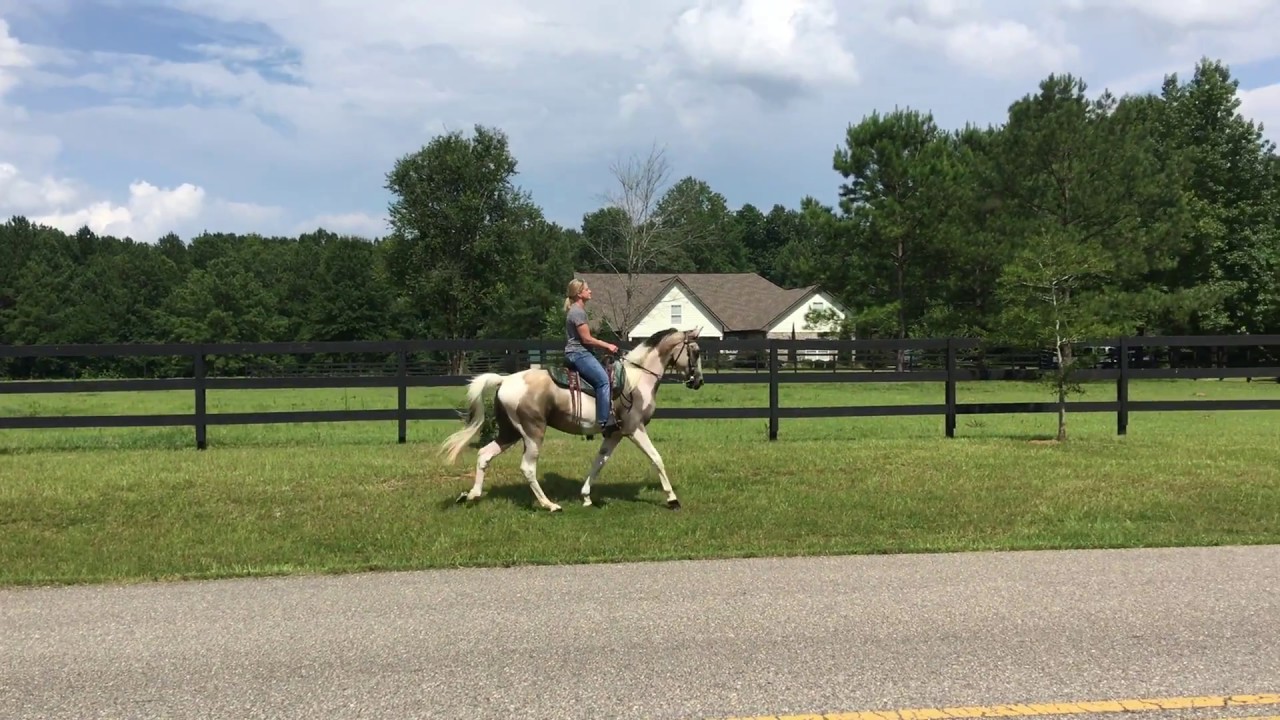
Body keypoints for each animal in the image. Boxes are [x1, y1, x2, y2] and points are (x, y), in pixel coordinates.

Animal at [439, 327, 705, 512]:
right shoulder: (634, 429)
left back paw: (471, 495)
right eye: (696, 351)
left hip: (509, 432)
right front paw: (672, 499)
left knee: (484, 454)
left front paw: (586, 496)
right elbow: (656, 459)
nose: (698, 381)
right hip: (532, 433)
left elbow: (599, 462)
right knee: (527, 468)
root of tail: (505, 380)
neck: (637, 379)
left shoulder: (614, 433)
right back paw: (550, 505)